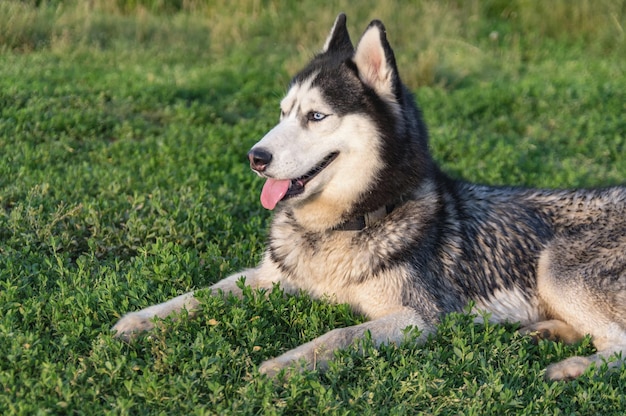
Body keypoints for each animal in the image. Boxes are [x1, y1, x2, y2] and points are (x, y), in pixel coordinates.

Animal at [112, 13, 624, 380]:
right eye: (283, 112)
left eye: (316, 116)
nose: (255, 157)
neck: (343, 223)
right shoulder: (268, 278)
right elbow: (206, 292)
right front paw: (141, 319)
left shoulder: (418, 318)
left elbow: (340, 335)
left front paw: (286, 363)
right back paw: (547, 333)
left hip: (554, 270)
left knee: (618, 345)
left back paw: (573, 366)